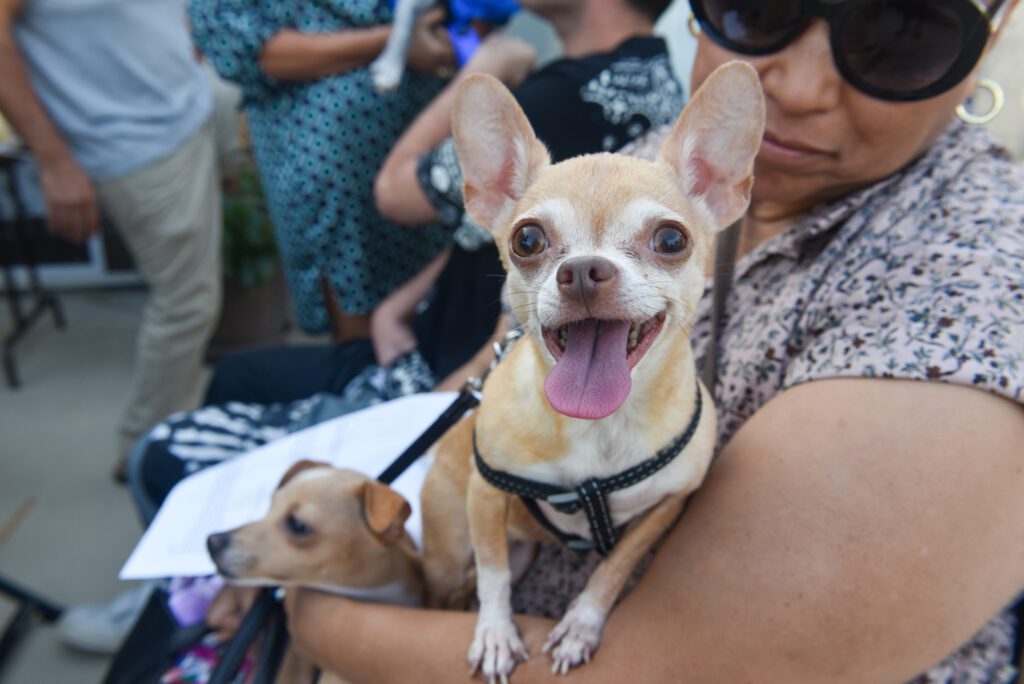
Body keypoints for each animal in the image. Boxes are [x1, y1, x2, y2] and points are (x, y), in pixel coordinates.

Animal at [419, 62, 765, 679]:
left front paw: (581, 625)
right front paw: (495, 634)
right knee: (460, 579)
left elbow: (613, 569)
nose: (582, 270)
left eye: (671, 239)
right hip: (449, 545)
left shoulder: (666, 506)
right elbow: (492, 573)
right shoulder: (485, 497)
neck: (599, 427)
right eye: (527, 239)